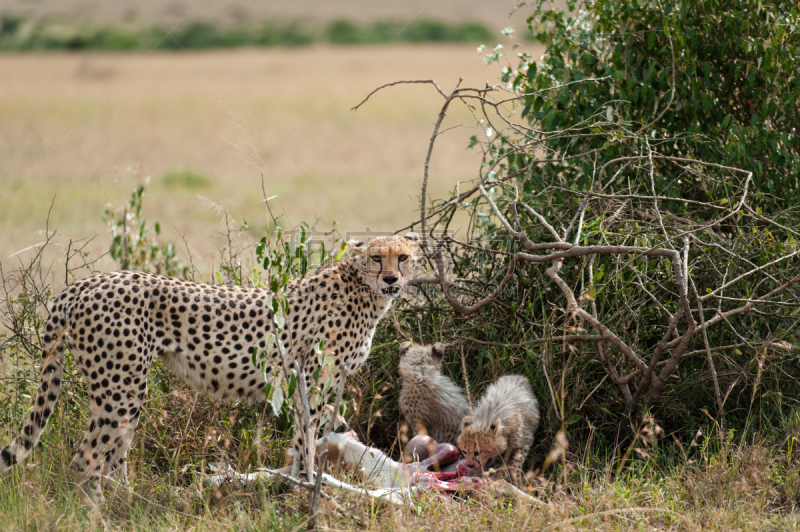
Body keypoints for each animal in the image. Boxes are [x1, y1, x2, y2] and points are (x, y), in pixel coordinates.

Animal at [0, 232, 422, 498]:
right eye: (376, 257)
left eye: (402, 257)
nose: (390, 278)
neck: (364, 290)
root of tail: (87, 282)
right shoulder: (312, 381)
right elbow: (306, 439)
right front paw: (304, 487)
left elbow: (308, 437)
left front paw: (295, 482)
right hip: (120, 390)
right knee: (84, 461)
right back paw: (100, 512)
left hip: (121, 393)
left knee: (112, 456)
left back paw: (129, 500)